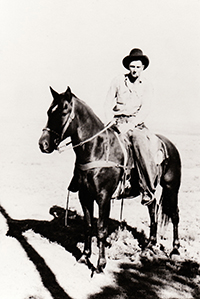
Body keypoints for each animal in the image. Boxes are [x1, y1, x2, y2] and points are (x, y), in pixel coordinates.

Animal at [38, 87, 181, 274]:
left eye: (63, 112)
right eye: (49, 112)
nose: (43, 144)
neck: (96, 149)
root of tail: (170, 145)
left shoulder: (103, 197)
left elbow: (101, 229)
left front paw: (100, 264)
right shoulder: (85, 196)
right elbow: (88, 226)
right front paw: (84, 256)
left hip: (172, 187)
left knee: (174, 214)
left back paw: (175, 250)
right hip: (150, 190)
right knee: (153, 208)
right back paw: (149, 246)